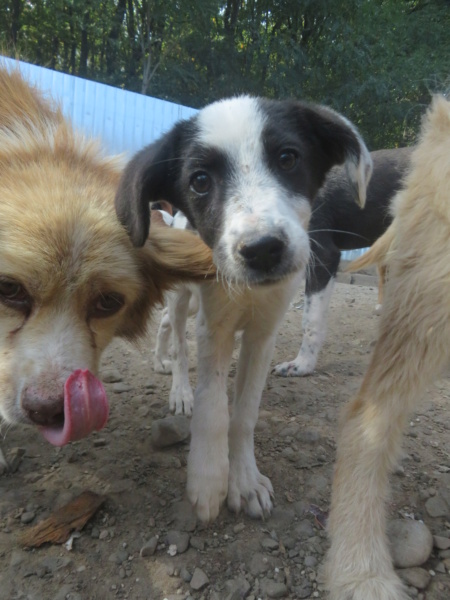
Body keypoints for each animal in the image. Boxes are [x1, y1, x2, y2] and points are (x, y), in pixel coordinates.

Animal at [116, 96, 372, 524]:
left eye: (288, 158)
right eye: (200, 181)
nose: (263, 249)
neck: (249, 294)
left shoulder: (262, 334)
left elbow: (245, 412)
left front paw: (245, 480)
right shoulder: (213, 326)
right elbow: (213, 405)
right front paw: (207, 478)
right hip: (184, 298)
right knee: (176, 335)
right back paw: (178, 385)